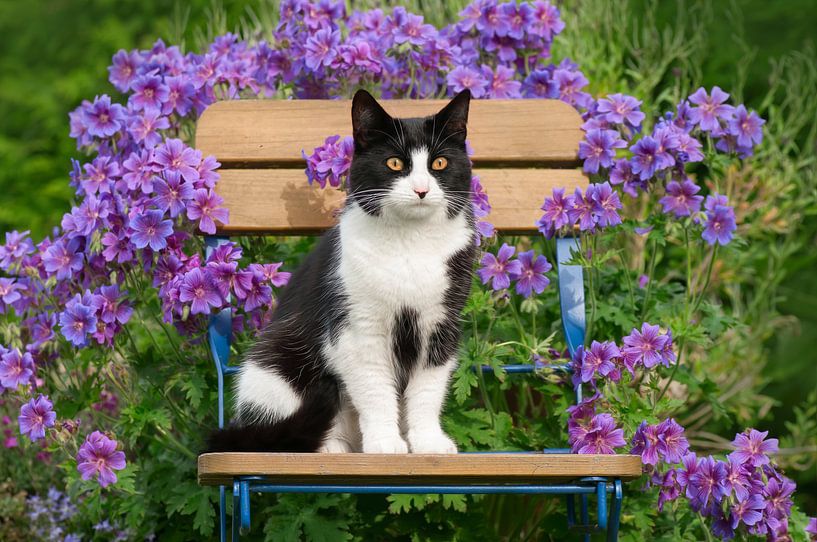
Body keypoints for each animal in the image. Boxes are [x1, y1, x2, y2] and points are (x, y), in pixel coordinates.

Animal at [207, 89, 474, 454]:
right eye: (394, 163)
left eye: (439, 163)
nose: (421, 190)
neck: (411, 242)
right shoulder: (357, 327)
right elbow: (375, 388)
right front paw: (386, 443)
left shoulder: (441, 324)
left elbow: (427, 389)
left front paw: (428, 441)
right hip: (277, 360)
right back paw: (331, 446)